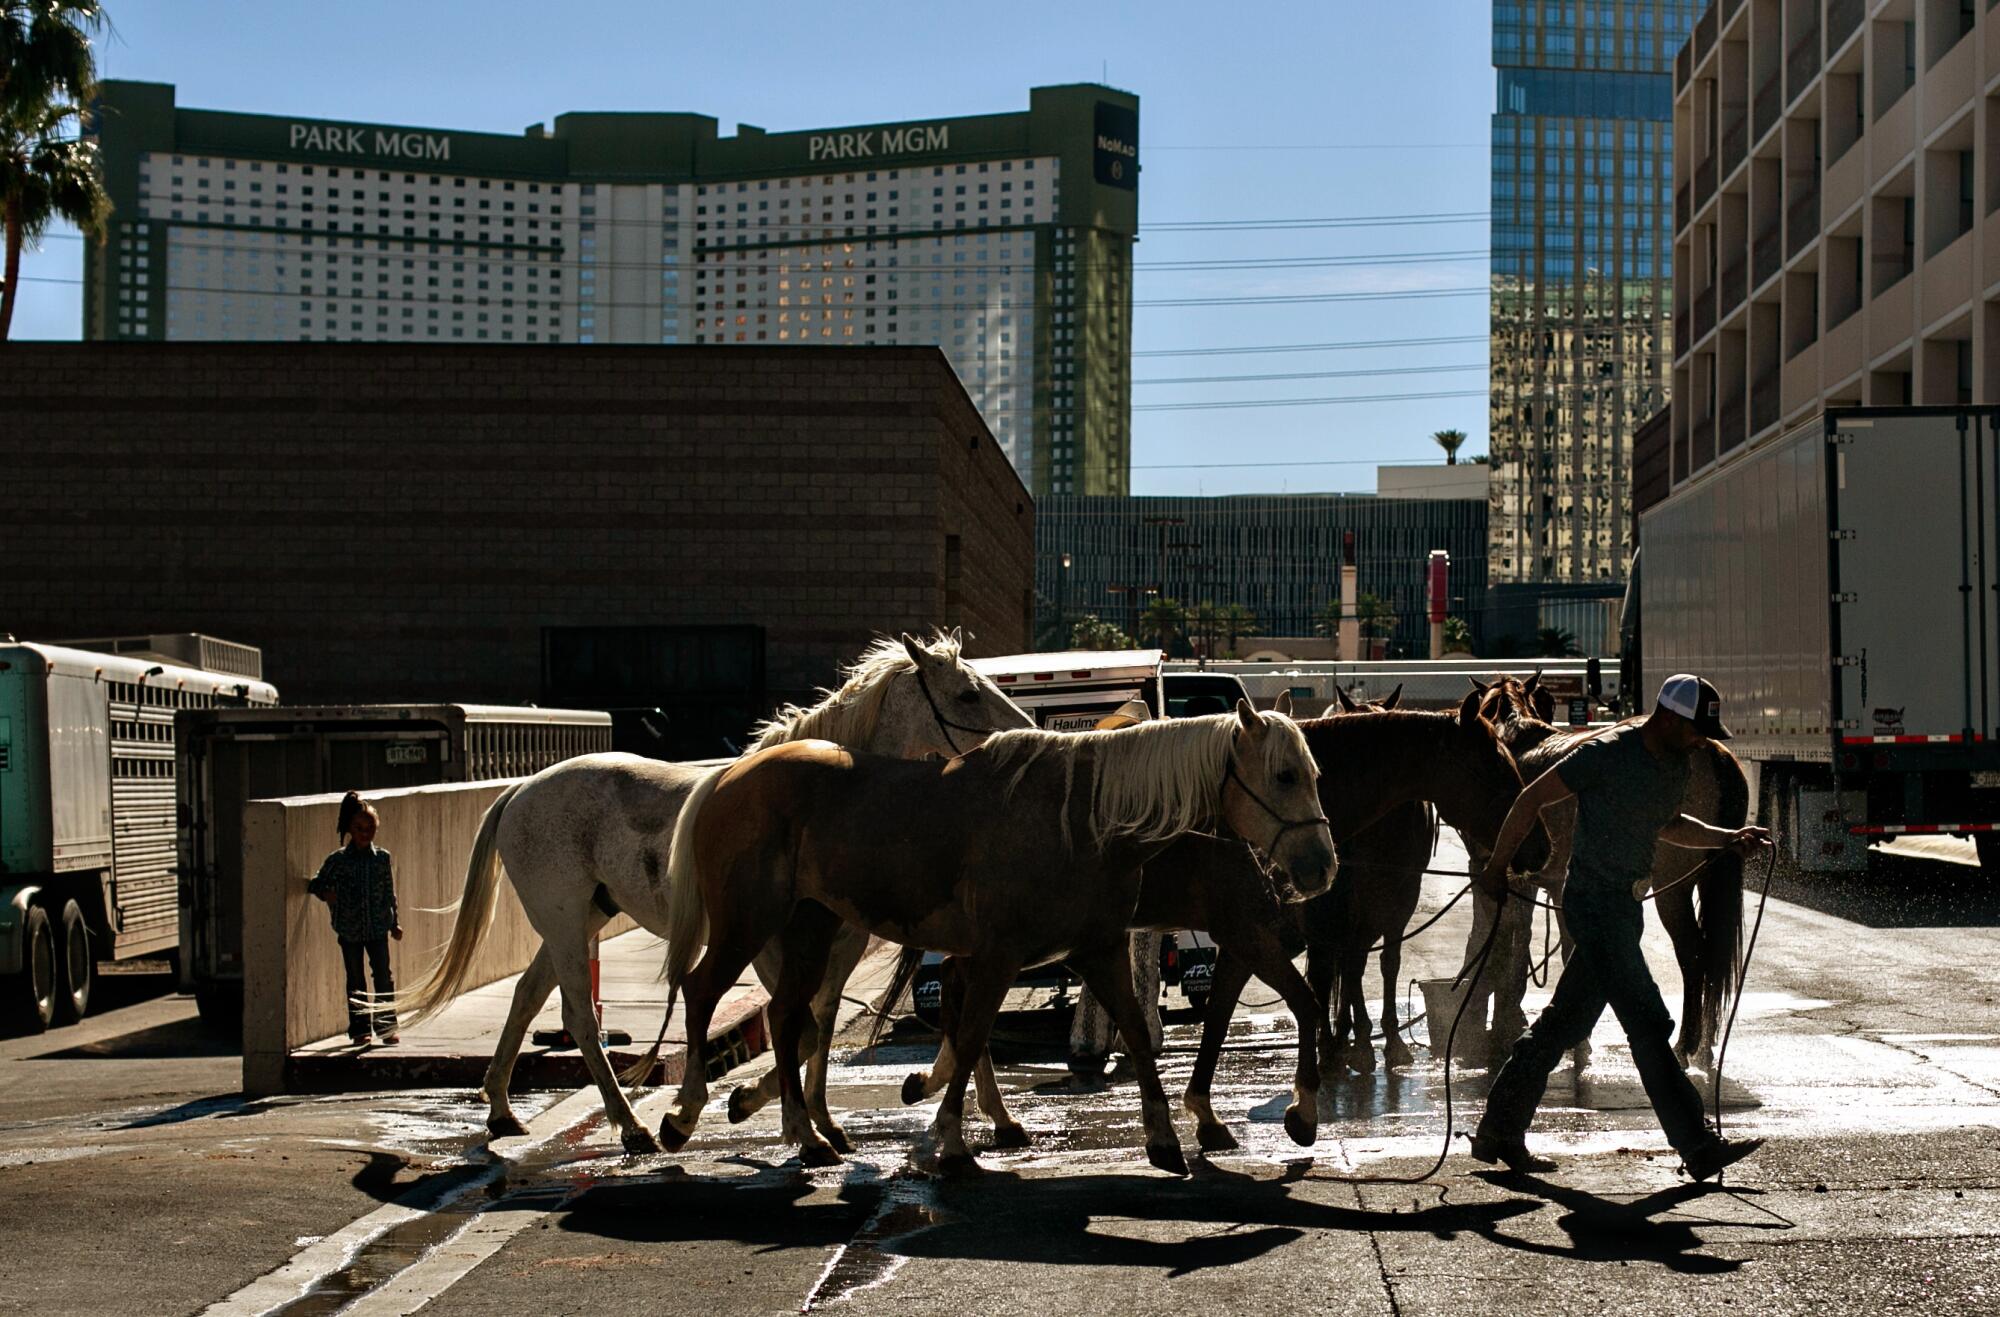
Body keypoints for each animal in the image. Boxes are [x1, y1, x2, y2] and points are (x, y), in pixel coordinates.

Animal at [390, 628, 1032, 1152]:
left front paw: (826, 1119)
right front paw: (753, 1110)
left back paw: (502, 1109)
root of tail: (521, 790)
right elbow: (796, 1028)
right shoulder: (775, 946)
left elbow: (823, 1026)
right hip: (566, 920)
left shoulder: (841, 947)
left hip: (578, 919)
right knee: (579, 1018)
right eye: (968, 693)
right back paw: (632, 1125)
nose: (1024, 734)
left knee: (527, 998)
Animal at [664, 696, 1336, 1168]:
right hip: (747, 922)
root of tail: (728, 775)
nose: (1320, 867)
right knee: (704, 992)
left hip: (811, 924)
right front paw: (951, 1138)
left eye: (1316, 775)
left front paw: (1167, 1136)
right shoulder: (1002, 954)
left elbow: (1142, 1035)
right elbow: (970, 1036)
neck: (1088, 819)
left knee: (786, 1016)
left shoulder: (1100, 947)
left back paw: (806, 1135)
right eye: (1283, 776)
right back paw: (686, 1114)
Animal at [1472, 676, 1752, 1064]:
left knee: (1693, 954)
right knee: (1711, 954)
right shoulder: (1559, 888)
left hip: (1674, 890)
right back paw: (1706, 1046)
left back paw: (1686, 1043)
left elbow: (1518, 943)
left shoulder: (1528, 887)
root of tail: (1713, 754)